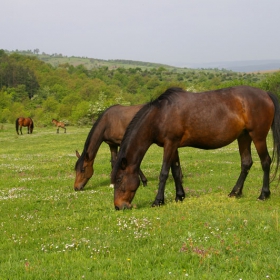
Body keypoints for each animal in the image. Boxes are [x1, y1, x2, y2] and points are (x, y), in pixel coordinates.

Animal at [111, 86, 280, 210]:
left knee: (265, 162)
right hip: (244, 137)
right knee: (246, 163)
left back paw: (263, 195)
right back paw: (235, 192)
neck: (160, 115)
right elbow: (176, 171)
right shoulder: (173, 146)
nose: (118, 206)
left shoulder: (170, 144)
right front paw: (179, 196)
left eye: (119, 179)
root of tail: (265, 94)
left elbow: (164, 173)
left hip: (258, 137)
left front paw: (158, 201)